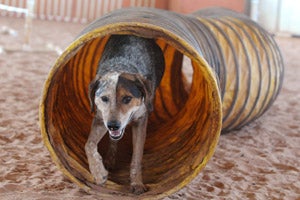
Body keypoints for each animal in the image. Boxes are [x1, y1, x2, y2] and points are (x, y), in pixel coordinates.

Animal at [84, 34, 165, 194]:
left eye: (127, 98)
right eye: (104, 98)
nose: (113, 126)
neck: (120, 66)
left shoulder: (140, 121)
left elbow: (137, 157)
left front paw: (137, 184)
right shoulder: (100, 119)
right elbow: (89, 145)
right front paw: (99, 173)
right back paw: (109, 159)